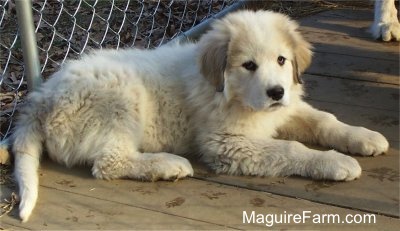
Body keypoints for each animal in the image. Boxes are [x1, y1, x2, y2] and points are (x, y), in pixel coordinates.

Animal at [10, 10, 390, 222]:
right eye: (248, 65)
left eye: (282, 60)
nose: (276, 92)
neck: (230, 93)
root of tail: (42, 97)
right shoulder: (228, 143)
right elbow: (290, 149)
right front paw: (336, 162)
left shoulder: (286, 111)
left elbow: (324, 120)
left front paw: (364, 137)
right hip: (119, 98)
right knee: (109, 162)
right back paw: (167, 164)